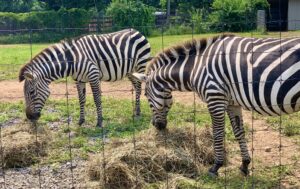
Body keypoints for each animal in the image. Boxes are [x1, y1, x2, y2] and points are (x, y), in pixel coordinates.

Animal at [19, 28, 150, 127]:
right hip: (129, 70)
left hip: (140, 65)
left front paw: (99, 121)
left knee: (139, 87)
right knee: (136, 86)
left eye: (31, 92)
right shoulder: (79, 80)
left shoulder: (93, 76)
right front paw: (81, 121)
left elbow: (97, 99)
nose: (29, 117)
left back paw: (138, 112)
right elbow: (81, 99)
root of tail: (136, 31)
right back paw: (136, 110)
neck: (72, 60)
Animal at [132, 34, 300, 177]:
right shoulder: (232, 103)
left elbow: (218, 133)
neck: (195, 68)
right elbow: (239, 132)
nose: (156, 125)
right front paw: (245, 165)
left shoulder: (215, 97)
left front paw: (216, 166)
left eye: (146, 95)